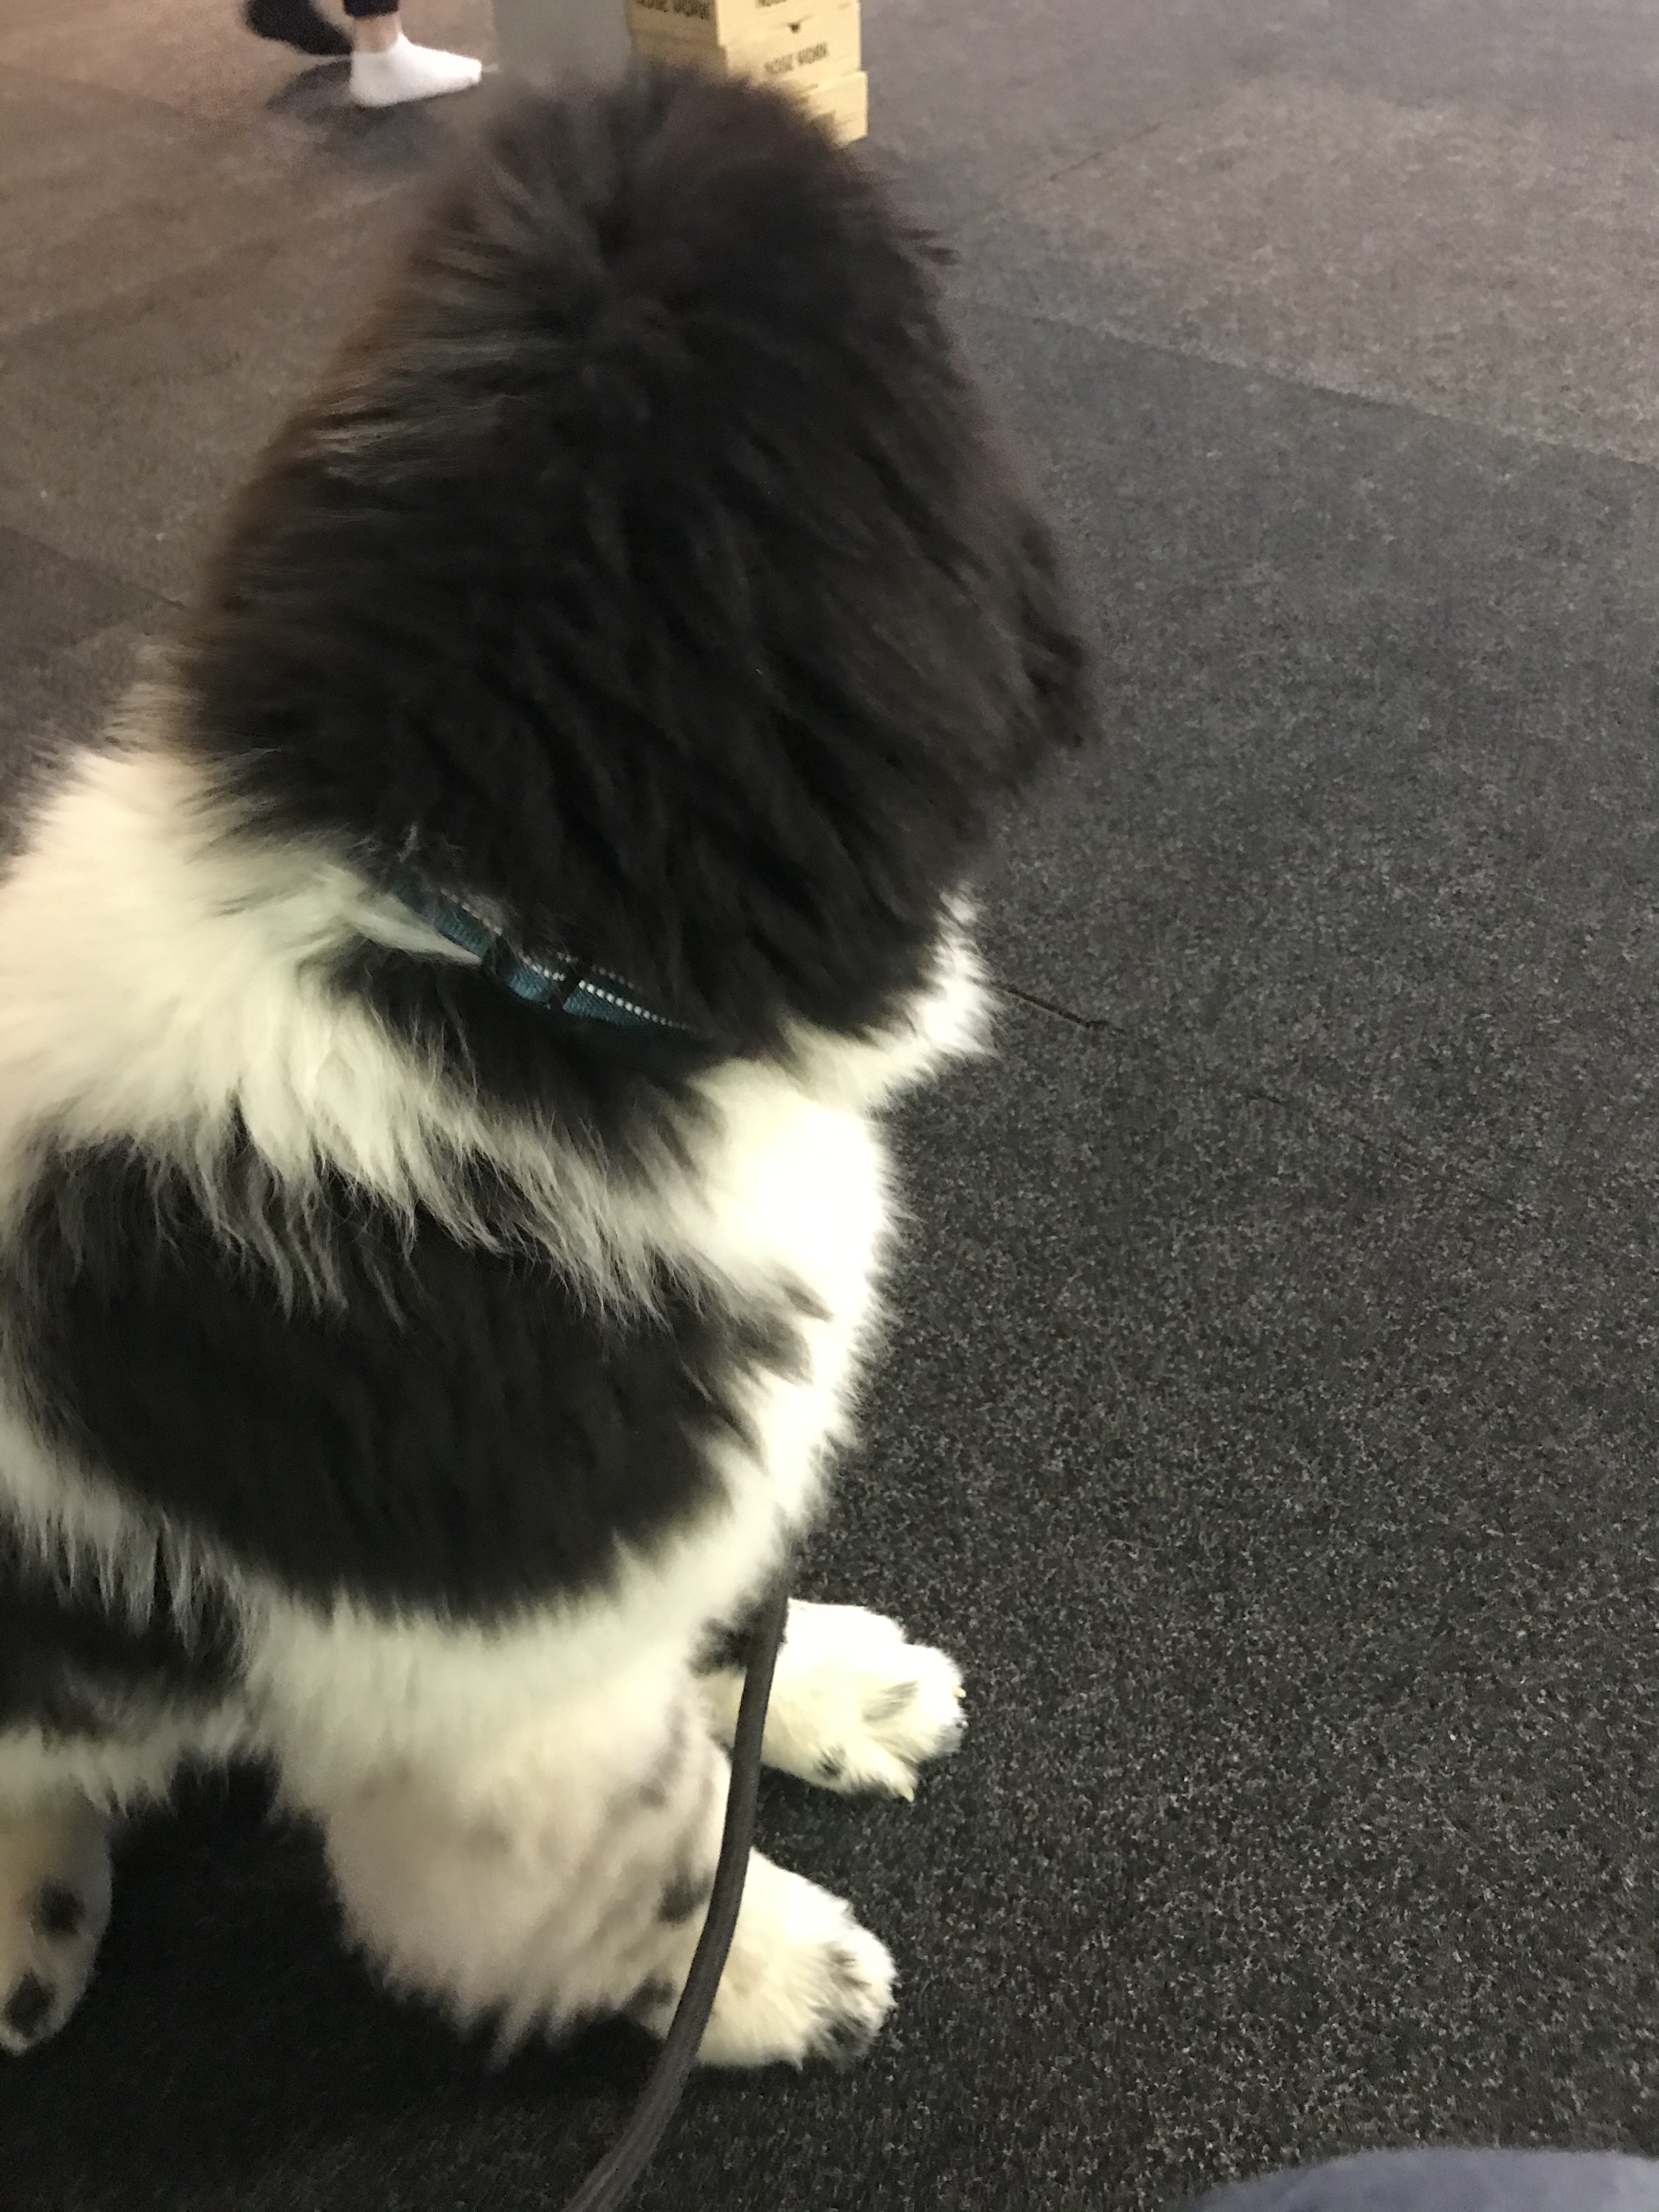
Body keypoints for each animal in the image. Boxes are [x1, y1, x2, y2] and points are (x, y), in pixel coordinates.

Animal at [0, 66, 1087, 2066]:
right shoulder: (486, 1703)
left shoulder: (629, 1528)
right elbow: (635, 1863)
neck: (467, 955)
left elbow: (707, 1632)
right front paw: (767, 1977)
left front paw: (825, 1688)